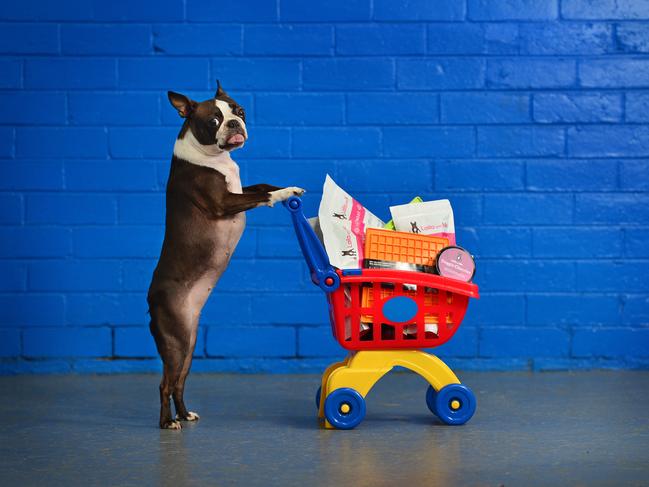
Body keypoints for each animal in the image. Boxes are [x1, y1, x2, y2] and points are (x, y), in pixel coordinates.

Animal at [148, 81, 306, 430]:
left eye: (240, 111)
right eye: (213, 121)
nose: (235, 124)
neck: (215, 159)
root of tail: (150, 301)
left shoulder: (238, 189)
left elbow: (259, 185)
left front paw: (291, 186)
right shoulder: (222, 202)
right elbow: (263, 194)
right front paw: (285, 192)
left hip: (189, 341)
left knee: (179, 381)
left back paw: (184, 414)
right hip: (175, 341)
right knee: (165, 383)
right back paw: (168, 422)